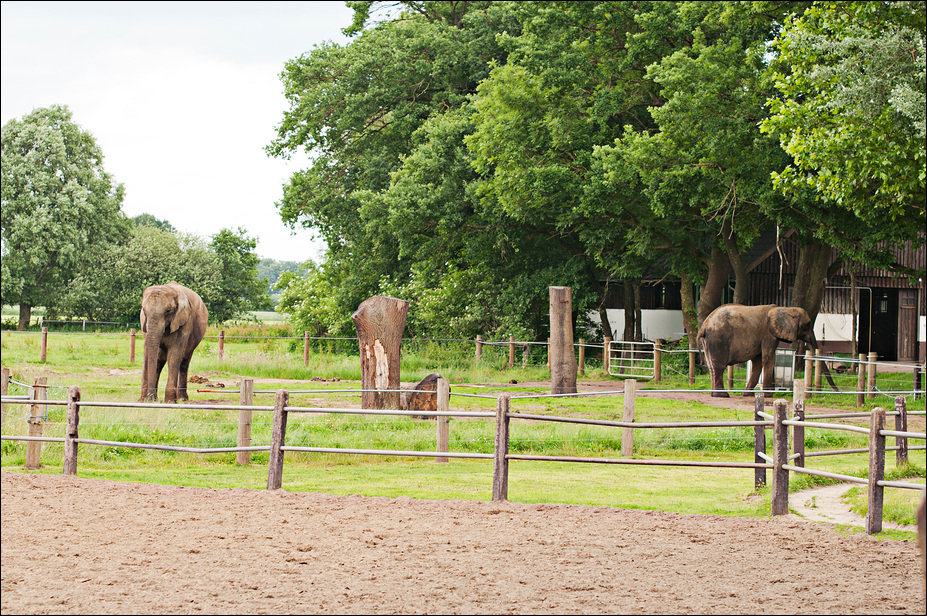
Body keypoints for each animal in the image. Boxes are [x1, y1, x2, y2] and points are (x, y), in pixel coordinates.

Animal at [696, 304, 839, 398]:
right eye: (808, 324)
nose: (837, 391)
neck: (785, 308)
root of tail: (703, 326)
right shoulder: (768, 335)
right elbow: (768, 358)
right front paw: (768, 395)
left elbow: (758, 362)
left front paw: (748, 394)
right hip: (718, 338)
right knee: (719, 367)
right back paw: (722, 395)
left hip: (709, 341)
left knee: (712, 367)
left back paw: (716, 395)